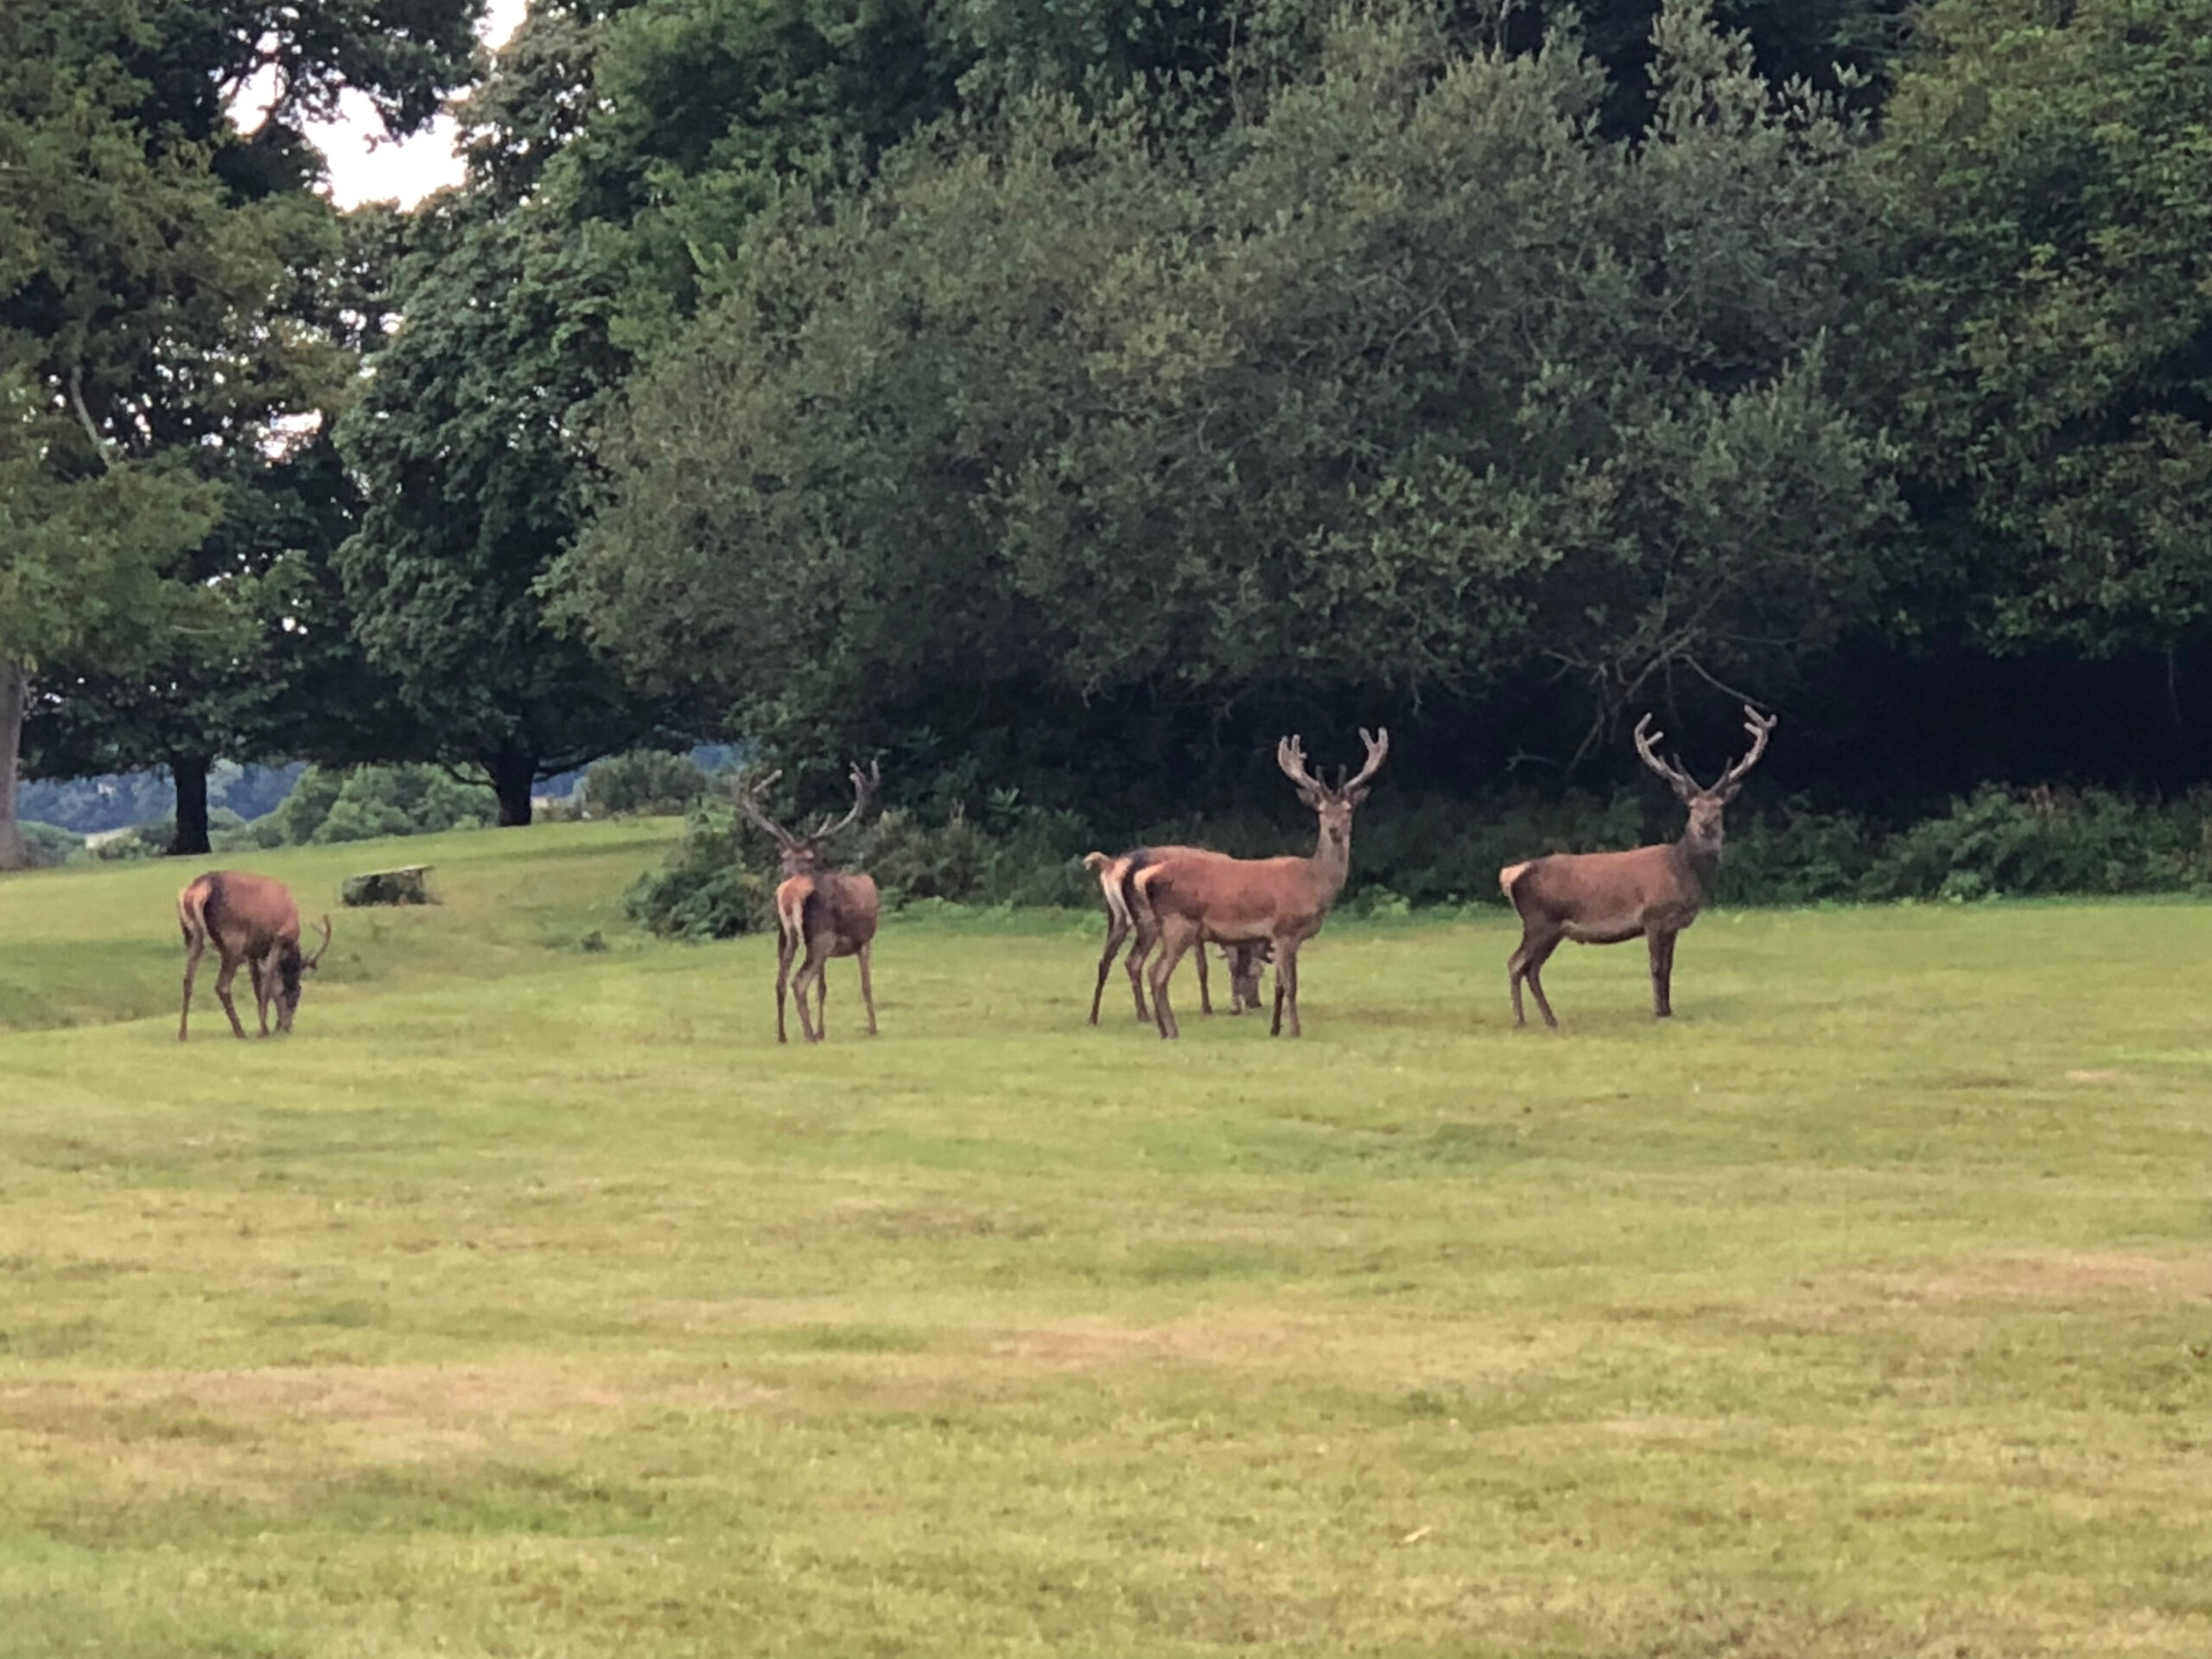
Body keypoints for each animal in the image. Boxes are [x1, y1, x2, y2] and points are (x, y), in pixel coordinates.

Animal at [176, 871, 327, 1039]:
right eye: (297, 993)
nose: (287, 1027)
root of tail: (200, 888)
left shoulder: (253, 952)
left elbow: (258, 986)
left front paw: (267, 1025)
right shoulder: (277, 941)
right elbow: (268, 986)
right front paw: (264, 1030)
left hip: (192, 938)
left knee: (188, 981)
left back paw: (183, 1033)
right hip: (233, 942)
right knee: (222, 985)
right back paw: (240, 1031)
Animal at [739, 765, 885, 1044]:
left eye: (806, 857)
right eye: (785, 856)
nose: (788, 873)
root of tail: (789, 894)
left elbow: (822, 987)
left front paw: (822, 1030)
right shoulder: (863, 940)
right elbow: (866, 984)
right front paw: (873, 1028)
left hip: (787, 936)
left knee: (780, 981)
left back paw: (783, 1035)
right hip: (820, 936)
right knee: (798, 981)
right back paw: (808, 1036)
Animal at [1079, 849, 1274, 1035]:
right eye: (1258, 973)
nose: (1256, 1003)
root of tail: (1111, 865)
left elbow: (1204, 967)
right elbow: (1215, 966)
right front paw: (1219, 1008)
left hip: (1117, 917)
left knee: (1105, 961)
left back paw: (1093, 1017)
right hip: (1147, 920)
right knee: (1133, 961)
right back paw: (1144, 1014)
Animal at [1132, 729, 1389, 1039]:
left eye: (1349, 809)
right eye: (1320, 810)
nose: (1334, 829)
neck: (1314, 883)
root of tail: (1147, 876)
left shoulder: (1283, 938)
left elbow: (1279, 985)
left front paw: (1275, 1029)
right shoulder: (1285, 929)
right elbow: (1291, 985)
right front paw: (1295, 1030)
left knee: (1152, 972)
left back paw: (1164, 1029)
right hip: (1179, 923)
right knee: (1157, 973)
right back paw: (1171, 1030)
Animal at [1495, 703, 1770, 1026]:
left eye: (1719, 807)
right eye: (1692, 807)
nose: (1705, 825)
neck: (1683, 870)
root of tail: (1511, 874)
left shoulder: (1673, 924)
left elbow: (1669, 966)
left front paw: (1668, 1009)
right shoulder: (1653, 915)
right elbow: (1656, 966)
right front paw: (1659, 1012)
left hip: (1551, 928)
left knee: (1532, 967)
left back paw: (1550, 1019)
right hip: (1539, 920)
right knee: (1516, 963)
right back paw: (1520, 1020)